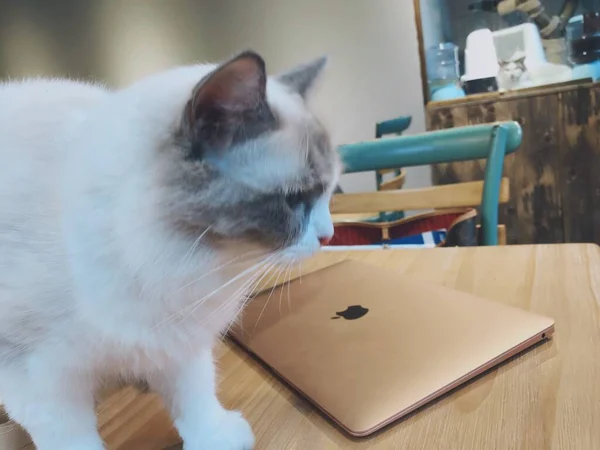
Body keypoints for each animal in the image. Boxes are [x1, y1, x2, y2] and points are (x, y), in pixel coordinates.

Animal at [0, 50, 340, 450]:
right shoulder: (37, 377)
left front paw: (215, 438)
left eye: (329, 192)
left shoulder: (179, 339)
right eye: (295, 199)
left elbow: (194, 395)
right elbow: (71, 437)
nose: (329, 235)